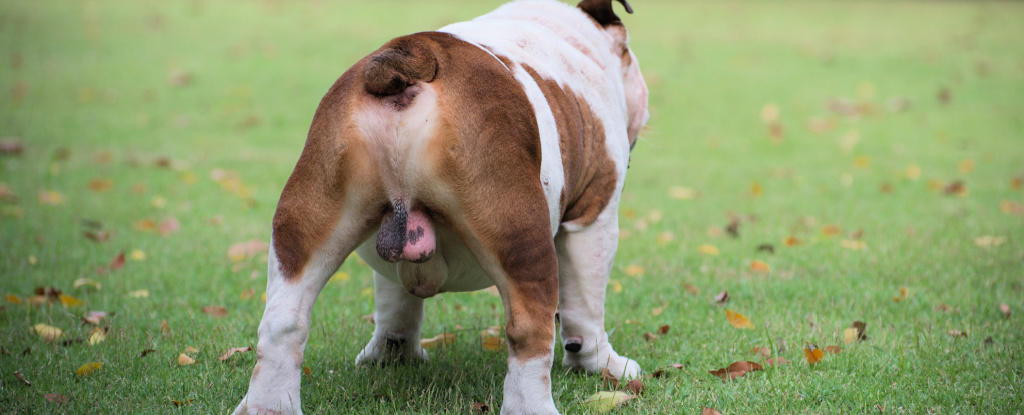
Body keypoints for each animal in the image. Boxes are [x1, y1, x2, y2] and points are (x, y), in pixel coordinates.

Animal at [234, 1, 643, 411]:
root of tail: (413, 55)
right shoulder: (594, 218)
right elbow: (586, 308)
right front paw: (600, 363)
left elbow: (395, 303)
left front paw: (392, 355)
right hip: (520, 232)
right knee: (528, 329)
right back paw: (532, 406)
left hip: (305, 221)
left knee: (284, 321)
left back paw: (268, 405)